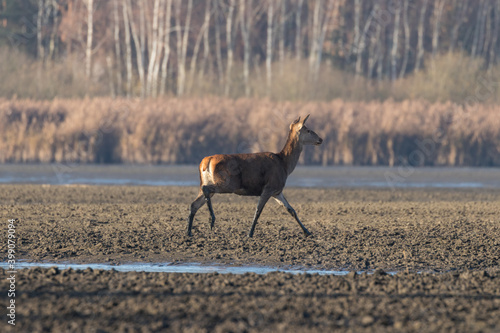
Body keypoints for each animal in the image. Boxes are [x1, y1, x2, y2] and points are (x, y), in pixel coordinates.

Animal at [186, 114, 322, 236]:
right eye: (308, 130)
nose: (320, 139)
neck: (285, 165)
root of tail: (206, 161)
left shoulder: (277, 191)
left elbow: (291, 210)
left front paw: (307, 232)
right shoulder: (269, 187)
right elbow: (258, 211)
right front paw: (250, 233)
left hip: (208, 181)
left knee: (194, 204)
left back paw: (189, 232)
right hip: (227, 183)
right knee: (205, 190)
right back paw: (211, 219)